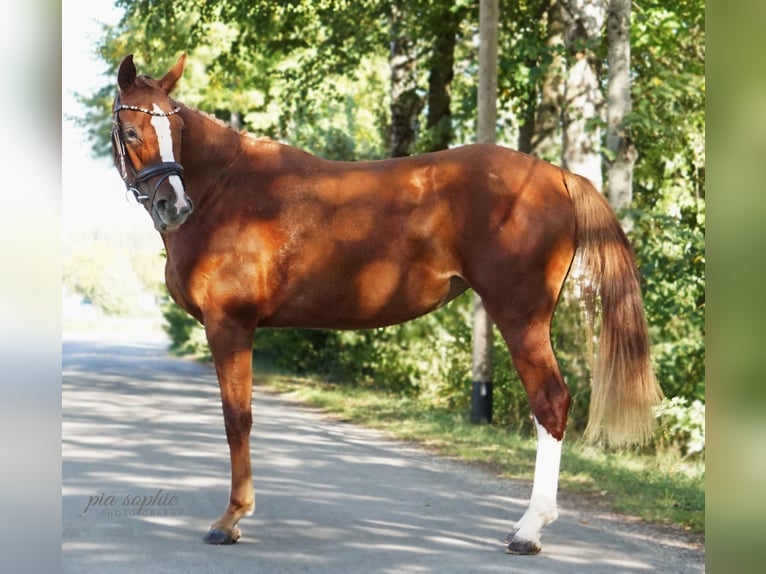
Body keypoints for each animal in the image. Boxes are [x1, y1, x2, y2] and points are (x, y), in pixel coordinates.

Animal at [110, 53, 662, 555]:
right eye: (133, 132)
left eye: (175, 128)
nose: (175, 205)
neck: (225, 189)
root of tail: (557, 175)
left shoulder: (230, 325)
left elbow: (236, 419)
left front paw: (230, 519)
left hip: (521, 317)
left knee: (550, 402)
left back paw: (528, 530)